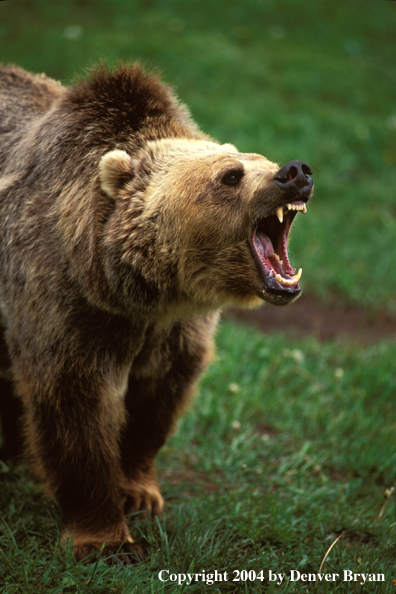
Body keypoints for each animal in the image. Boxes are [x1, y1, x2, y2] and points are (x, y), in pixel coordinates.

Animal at [0, 62, 312, 560]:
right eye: (231, 175)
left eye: (263, 159)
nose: (296, 172)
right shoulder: (67, 302)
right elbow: (75, 405)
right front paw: (104, 537)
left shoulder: (174, 329)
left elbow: (157, 398)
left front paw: (138, 492)